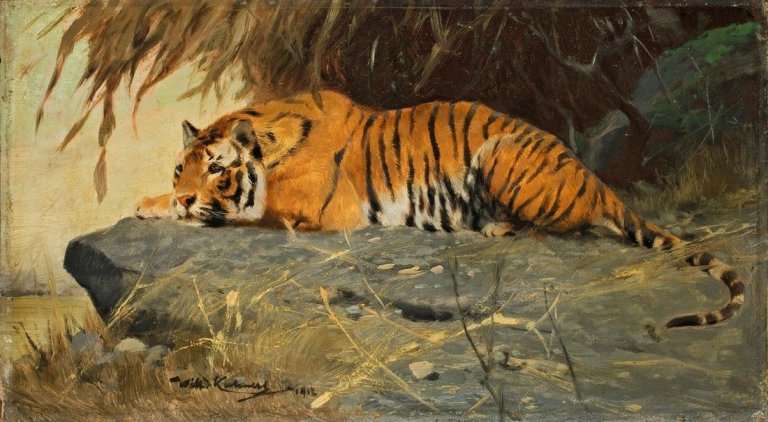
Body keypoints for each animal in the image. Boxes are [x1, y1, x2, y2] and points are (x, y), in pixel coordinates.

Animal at [135, 90, 743, 329]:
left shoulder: (316, 212)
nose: (184, 193)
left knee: (553, 228)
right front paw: (149, 201)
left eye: (217, 169)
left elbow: (241, 212)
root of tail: (599, 184)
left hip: (501, 155)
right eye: (179, 168)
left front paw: (173, 209)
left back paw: (494, 227)